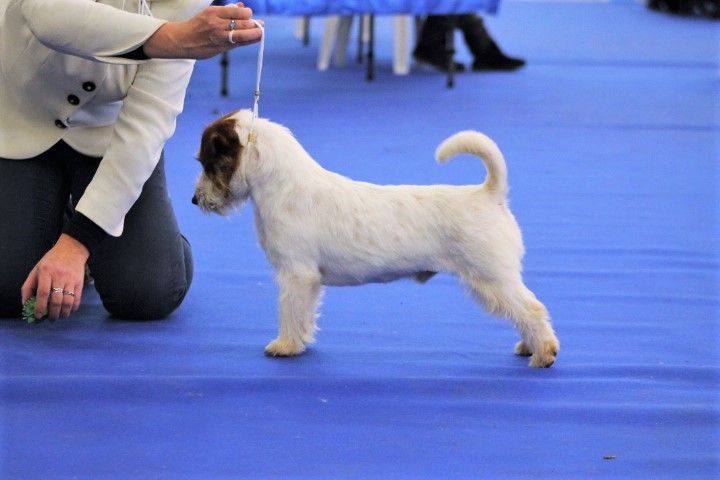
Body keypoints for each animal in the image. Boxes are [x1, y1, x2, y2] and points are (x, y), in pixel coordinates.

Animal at [191, 110, 556, 368]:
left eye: (209, 163)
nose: (195, 200)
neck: (283, 185)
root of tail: (490, 193)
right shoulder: (307, 281)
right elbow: (305, 313)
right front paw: (302, 342)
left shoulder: (296, 275)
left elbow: (290, 311)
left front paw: (286, 345)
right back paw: (529, 347)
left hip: (491, 279)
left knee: (531, 308)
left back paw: (543, 354)